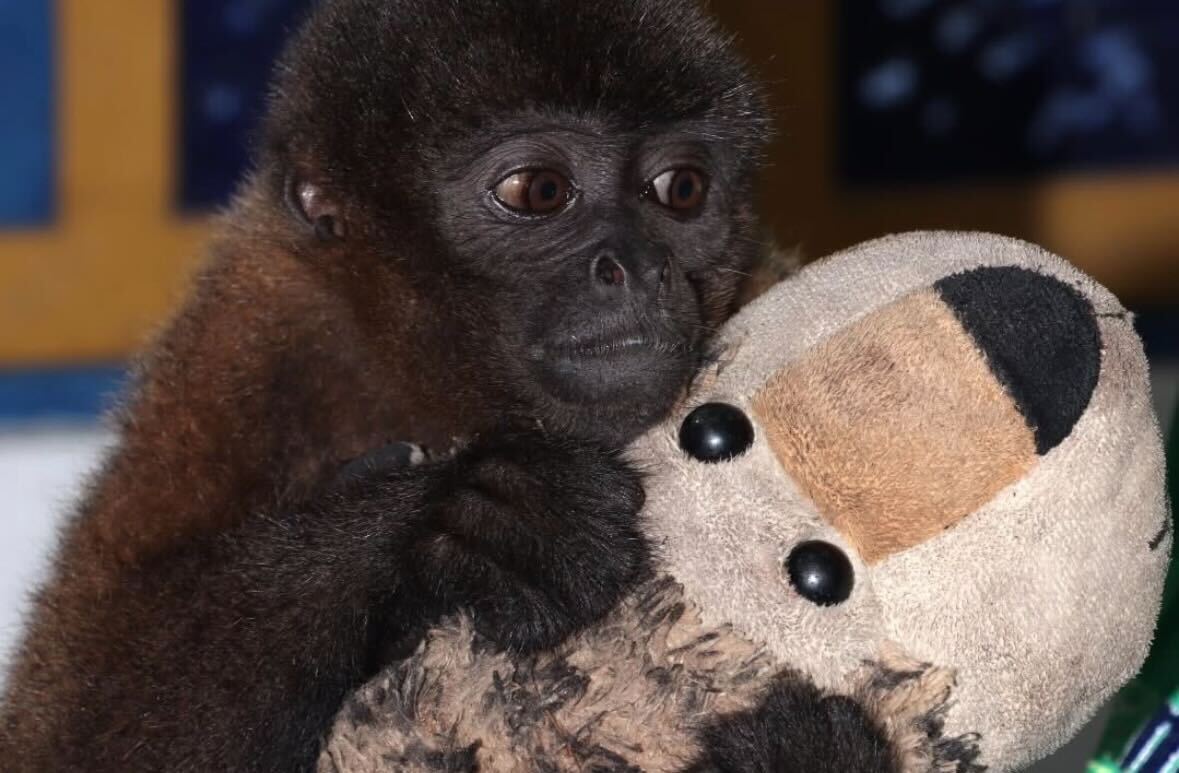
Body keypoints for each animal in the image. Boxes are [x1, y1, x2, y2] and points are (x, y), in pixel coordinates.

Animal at [0, 1, 900, 771]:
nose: (638, 267)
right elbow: (68, 725)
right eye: (538, 191)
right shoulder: (244, 351)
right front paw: (475, 516)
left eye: (680, 189)